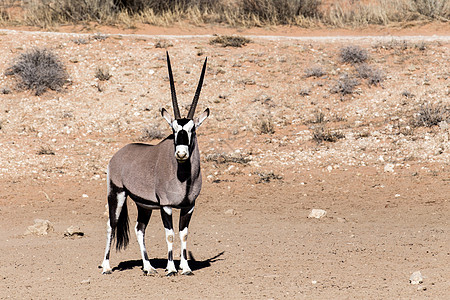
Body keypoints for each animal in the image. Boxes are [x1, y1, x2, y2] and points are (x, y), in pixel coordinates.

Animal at [101, 52, 210, 276]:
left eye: (193, 129)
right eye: (174, 129)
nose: (181, 153)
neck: (183, 178)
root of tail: (119, 154)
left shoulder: (189, 206)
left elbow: (183, 234)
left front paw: (186, 267)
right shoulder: (166, 206)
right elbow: (170, 235)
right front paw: (171, 268)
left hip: (144, 205)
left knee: (139, 229)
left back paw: (148, 267)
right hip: (117, 193)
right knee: (111, 224)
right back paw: (106, 266)